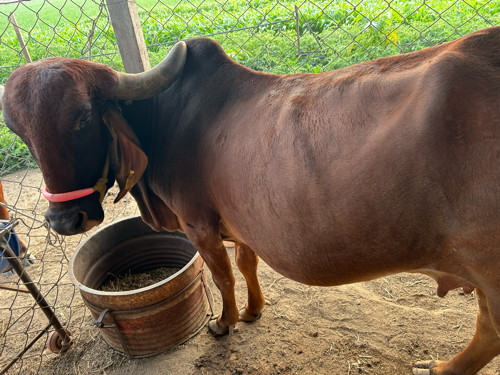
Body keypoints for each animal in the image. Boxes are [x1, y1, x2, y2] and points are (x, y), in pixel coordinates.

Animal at [0, 25, 500, 374]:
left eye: (83, 117)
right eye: (18, 130)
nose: (64, 220)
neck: (164, 121)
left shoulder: (198, 223)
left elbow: (222, 276)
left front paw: (225, 322)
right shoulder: (238, 224)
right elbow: (246, 264)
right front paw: (255, 310)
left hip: (488, 270)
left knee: (488, 333)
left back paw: (443, 367)